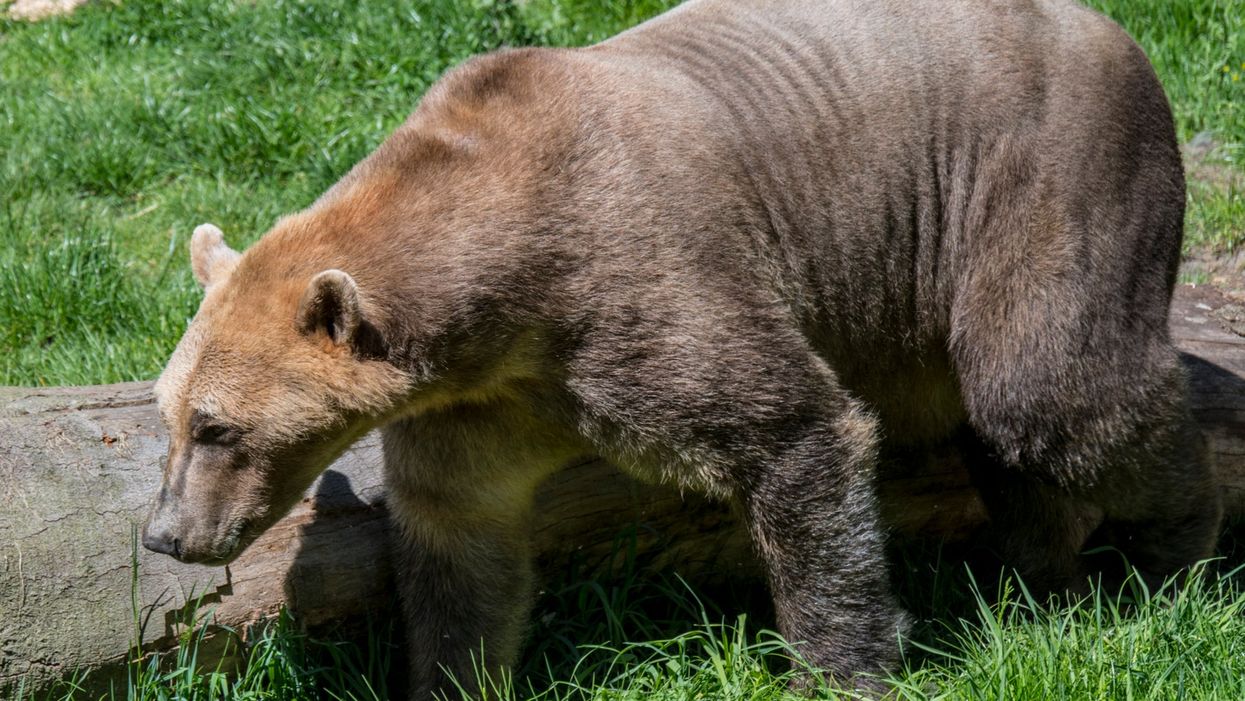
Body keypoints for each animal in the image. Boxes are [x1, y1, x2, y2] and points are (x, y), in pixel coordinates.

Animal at [142, 0, 1222, 695]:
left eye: (219, 426)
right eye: (170, 416)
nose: (166, 534)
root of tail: (1120, 34)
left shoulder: (640, 288)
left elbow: (794, 431)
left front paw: (842, 665)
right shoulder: (485, 400)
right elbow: (460, 537)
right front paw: (455, 670)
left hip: (1043, 174)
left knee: (1052, 391)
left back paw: (1175, 546)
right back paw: (1031, 570)